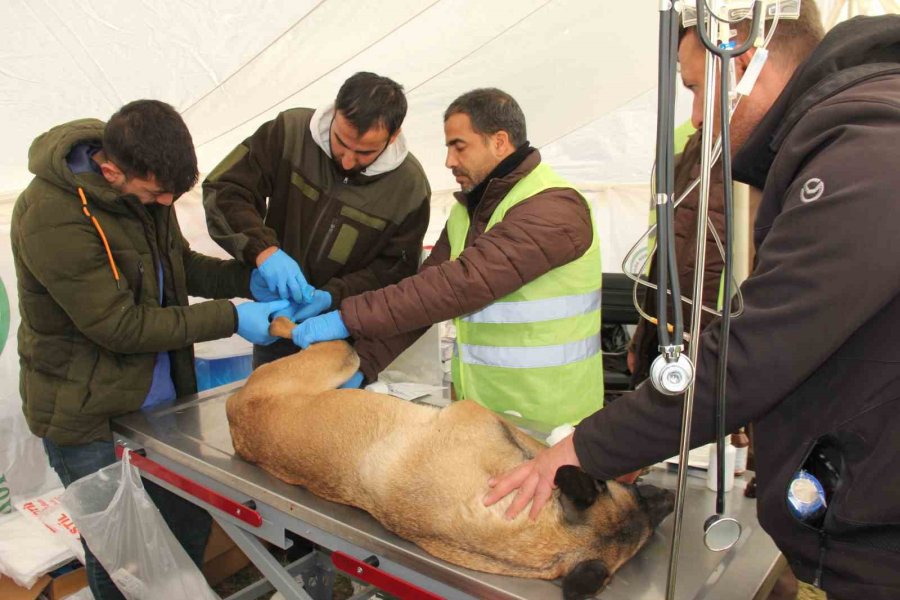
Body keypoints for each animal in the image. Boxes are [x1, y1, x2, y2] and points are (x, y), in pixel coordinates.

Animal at [227, 336, 676, 596]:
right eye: (632, 493)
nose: (668, 498)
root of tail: (235, 413)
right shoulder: (477, 414)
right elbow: (538, 449)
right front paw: (563, 441)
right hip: (340, 354)